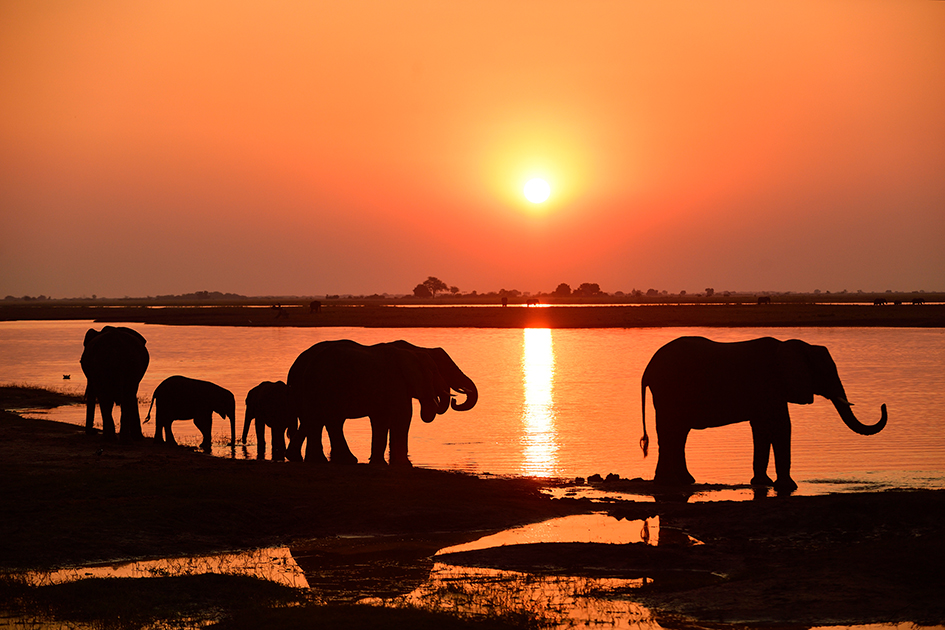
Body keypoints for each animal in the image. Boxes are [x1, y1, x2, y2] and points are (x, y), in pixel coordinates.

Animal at [286, 340, 480, 470]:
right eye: (439, 370)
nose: (454, 399)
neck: (416, 350)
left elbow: (383, 418)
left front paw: (384, 463)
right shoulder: (396, 381)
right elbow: (402, 415)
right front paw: (403, 465)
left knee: (317, 420)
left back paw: (312, 459)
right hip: (327, 386)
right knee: (330, 420)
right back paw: (344, 460)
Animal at [640, 338, 884, 496]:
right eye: (826, 372)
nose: (882, 404)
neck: (794, 346)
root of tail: (647, 369)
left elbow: (762, 428)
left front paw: (762, 483)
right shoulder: (772, 385)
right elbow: (781, 426)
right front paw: (789, 487)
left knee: (677, 433)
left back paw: (683, 481)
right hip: (669, 389)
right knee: (671, 431)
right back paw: (670, 483)